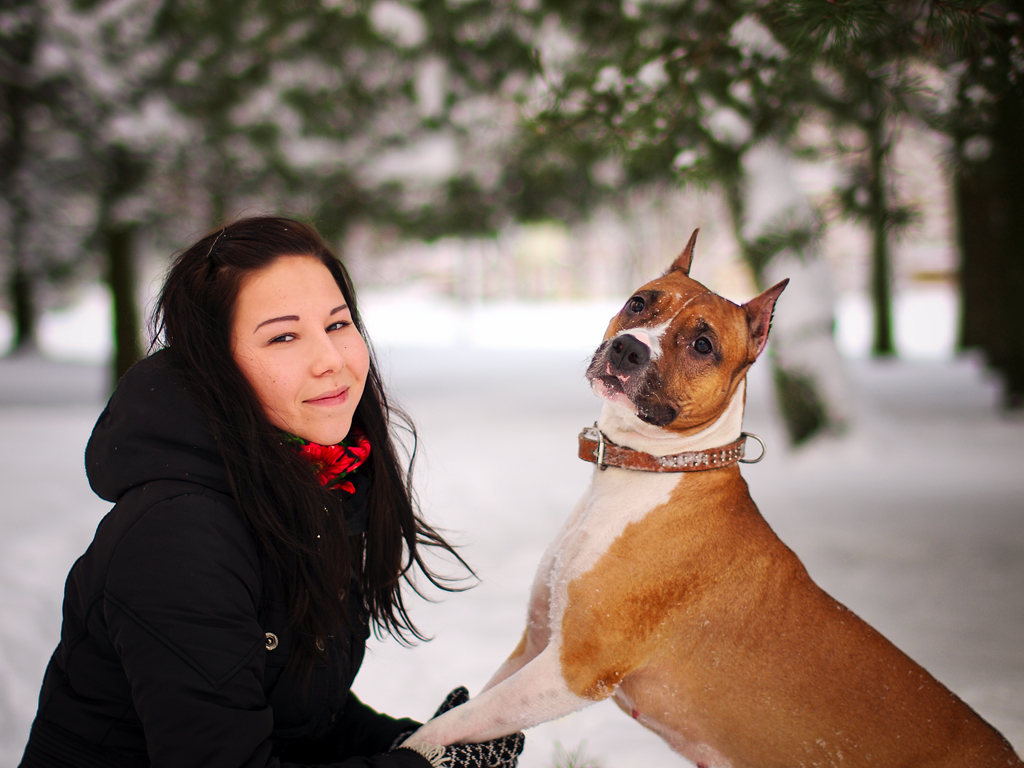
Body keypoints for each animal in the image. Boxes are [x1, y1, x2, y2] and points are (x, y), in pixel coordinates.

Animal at [401, 233, 1024, 768]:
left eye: (702, 344)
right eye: (639, 303)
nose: (626, 349)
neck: (651, 471)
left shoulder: (572, 670)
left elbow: (445, 726)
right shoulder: (535, 643)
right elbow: (466, 711)